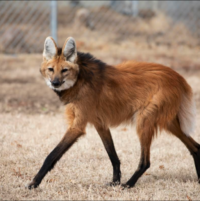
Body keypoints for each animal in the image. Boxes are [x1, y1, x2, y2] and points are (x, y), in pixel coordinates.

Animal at [27, 37, 199, 189]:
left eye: (64, 70)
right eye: (51, 70)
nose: (55, 83)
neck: (80, 80)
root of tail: (179, 77)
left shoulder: (77, 126)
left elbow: (51, 156)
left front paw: (33, 183)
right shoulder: (100, 123)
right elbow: (112, 155)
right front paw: (115, 181)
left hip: (144, 121)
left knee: (146, 161)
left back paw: (129, 184)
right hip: (169, 122)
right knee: (195, 147)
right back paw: (198, 179)